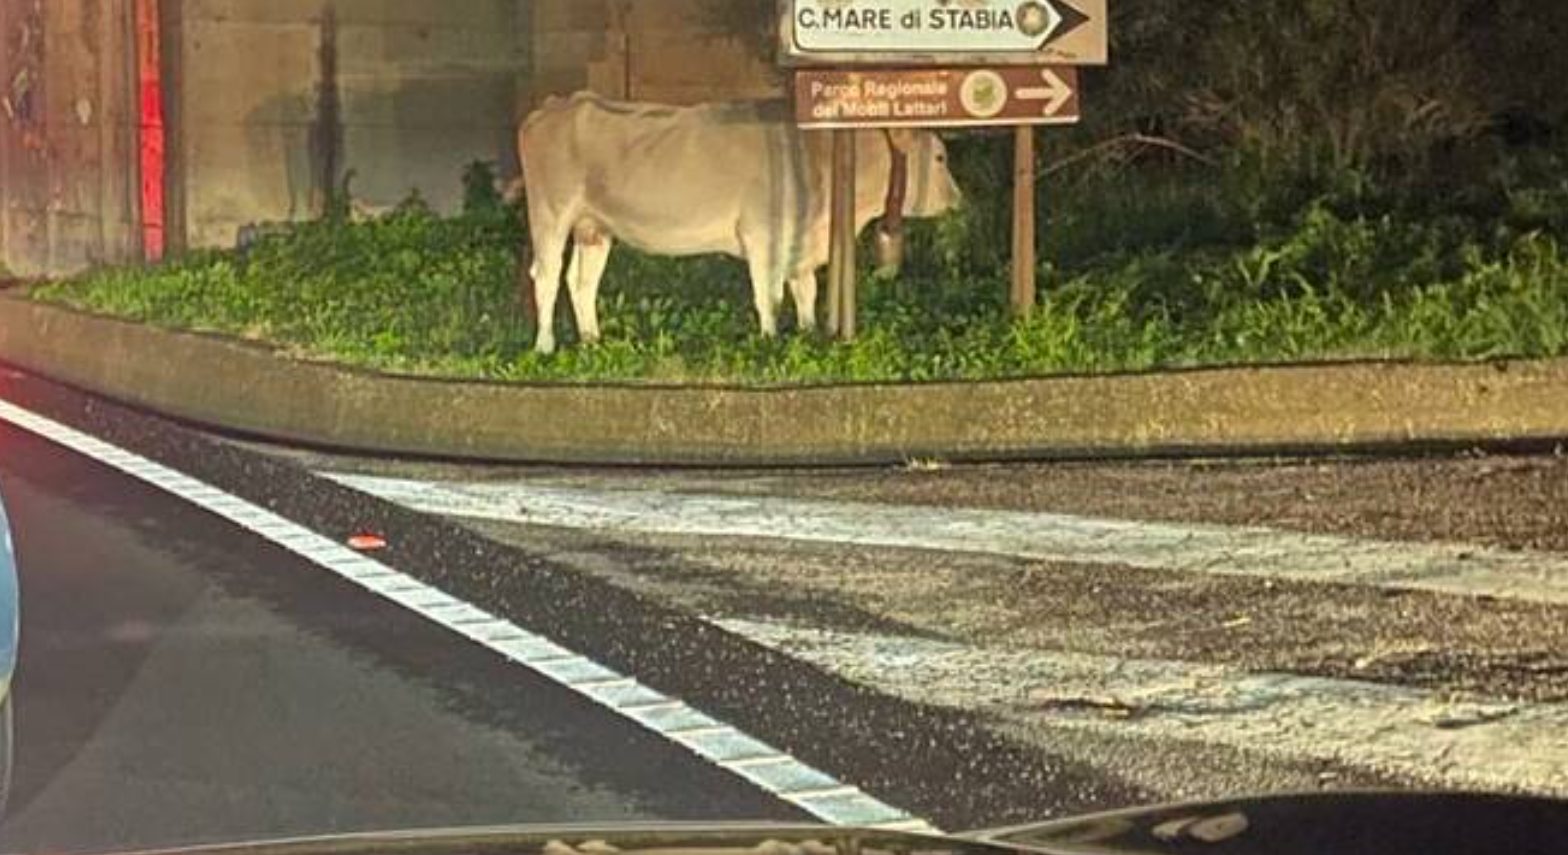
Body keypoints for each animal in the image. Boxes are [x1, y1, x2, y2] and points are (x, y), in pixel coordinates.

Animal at [517, 95, 953, 352]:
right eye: (941, 158)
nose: (959, 199)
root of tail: (557, 104)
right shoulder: (763, 235)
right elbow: (770, 296)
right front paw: (769, 342)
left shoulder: (798, 241)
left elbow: (806, 291)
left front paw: (808, 332)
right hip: (551, 213)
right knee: (546, 276)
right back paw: (545, 345)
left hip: (593, 227)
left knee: (581, 281)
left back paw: (592, 341)